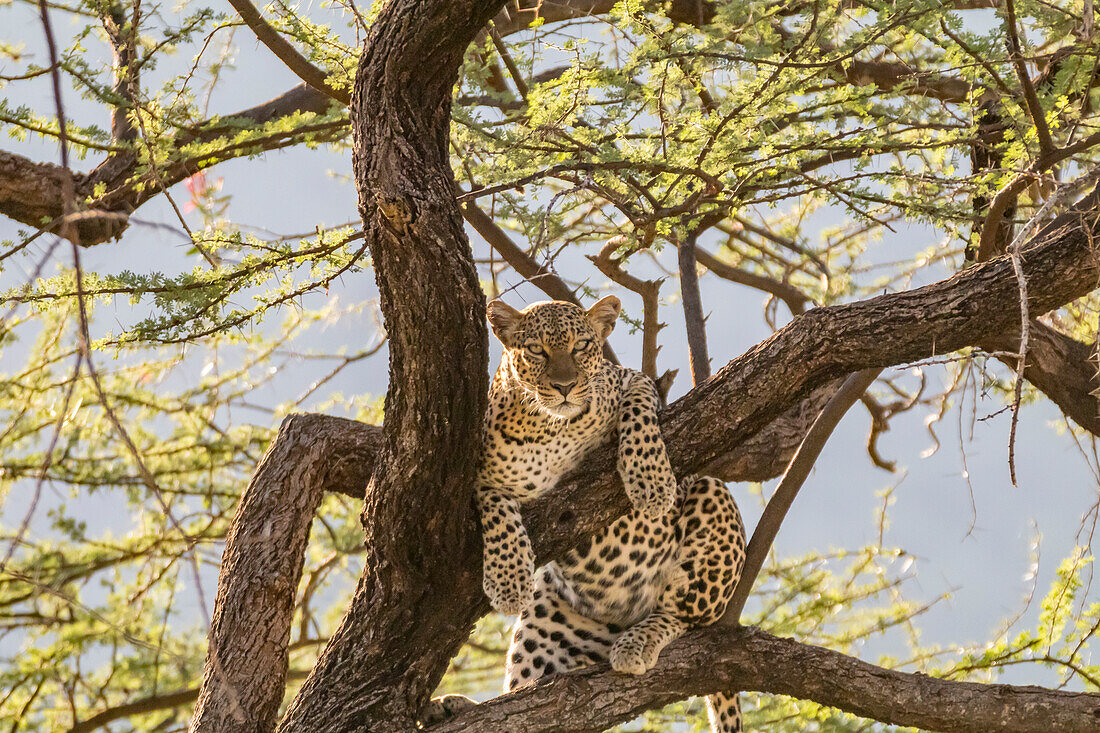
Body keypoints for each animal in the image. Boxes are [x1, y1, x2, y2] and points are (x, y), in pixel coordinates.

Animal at [420, 294, 748, 726]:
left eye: (582, 347)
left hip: (712, 501)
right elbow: (499, 513)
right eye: (536, 350)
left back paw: (637, 643)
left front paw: (651, 482)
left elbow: (639, 411)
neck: (549, 428)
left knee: (684, 617)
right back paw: (452, 707)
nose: (564, 386)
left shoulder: (628, 379)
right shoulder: (482, 478)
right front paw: (508, 581)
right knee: (521, 694)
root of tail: (621, 615)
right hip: (545, 621)